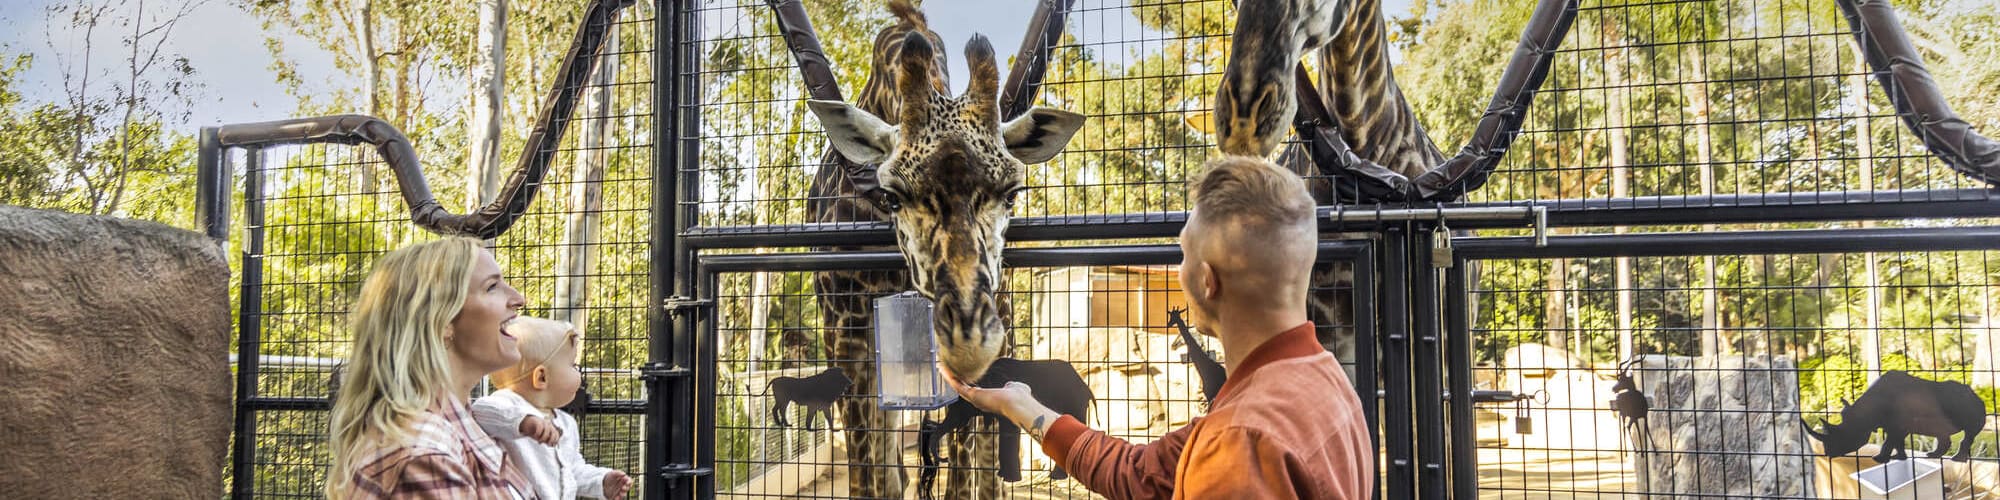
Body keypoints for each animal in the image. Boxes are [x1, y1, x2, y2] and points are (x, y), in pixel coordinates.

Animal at [800, 2, 1088, 496]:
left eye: (1012, 193)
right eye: (892, 194)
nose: (968, 346)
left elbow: (964, 463)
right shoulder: (846, 333)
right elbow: (869, 476)